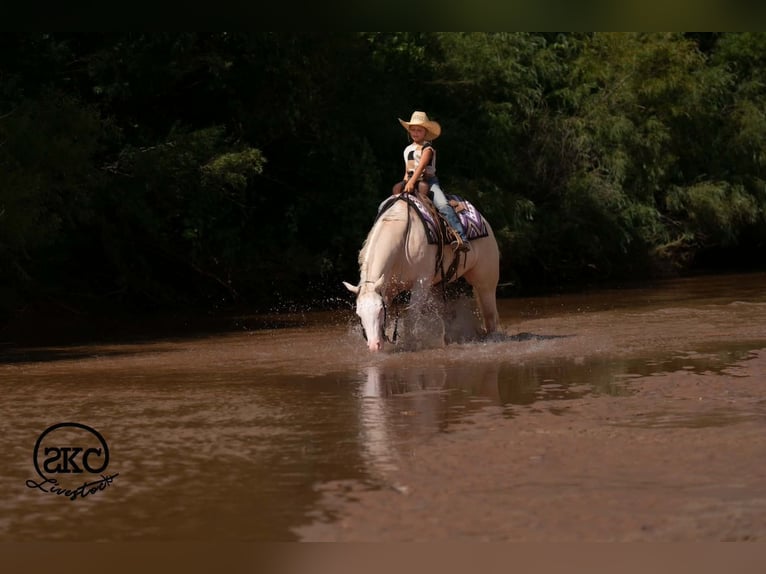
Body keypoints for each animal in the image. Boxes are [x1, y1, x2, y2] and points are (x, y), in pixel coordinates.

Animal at [343, 193, 500, 352]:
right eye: (358, 314)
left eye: (380, 310)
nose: (374, 346)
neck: (403, 242)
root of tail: (484, 221)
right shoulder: (388, 288)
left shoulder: (421, 283)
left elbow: (411, 318)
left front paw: (409, 344)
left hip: (486, 283)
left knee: (490, 316)